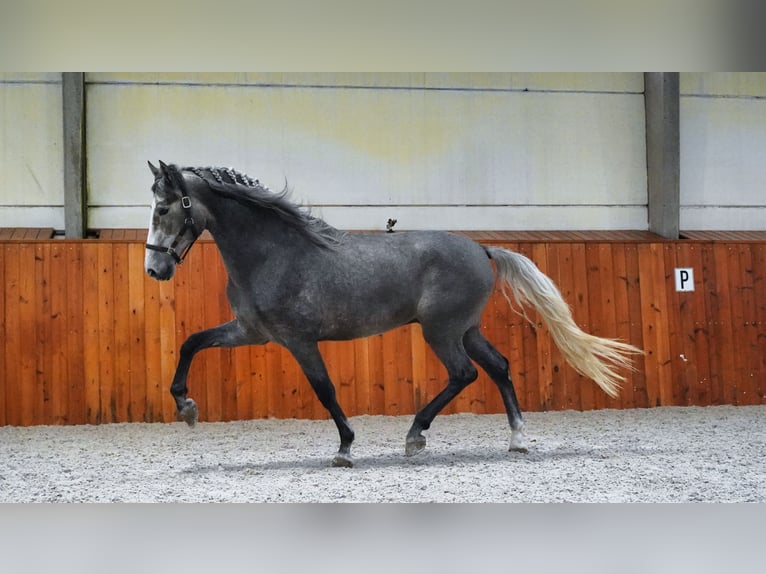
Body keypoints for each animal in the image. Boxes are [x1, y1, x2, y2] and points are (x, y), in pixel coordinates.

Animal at [146, 162, 640, 468]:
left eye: (164, 207)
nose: (155, 269)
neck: (273, 253)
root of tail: (482, 249)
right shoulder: (251, 332)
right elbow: (191, 342)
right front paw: (186, 407)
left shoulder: (298, 340)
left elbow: (325, 390)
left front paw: (345, 449)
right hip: (466, 329)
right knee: (498, 367)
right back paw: (517, 439)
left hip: (442, 331)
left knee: (464, 374)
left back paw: (416, 436)